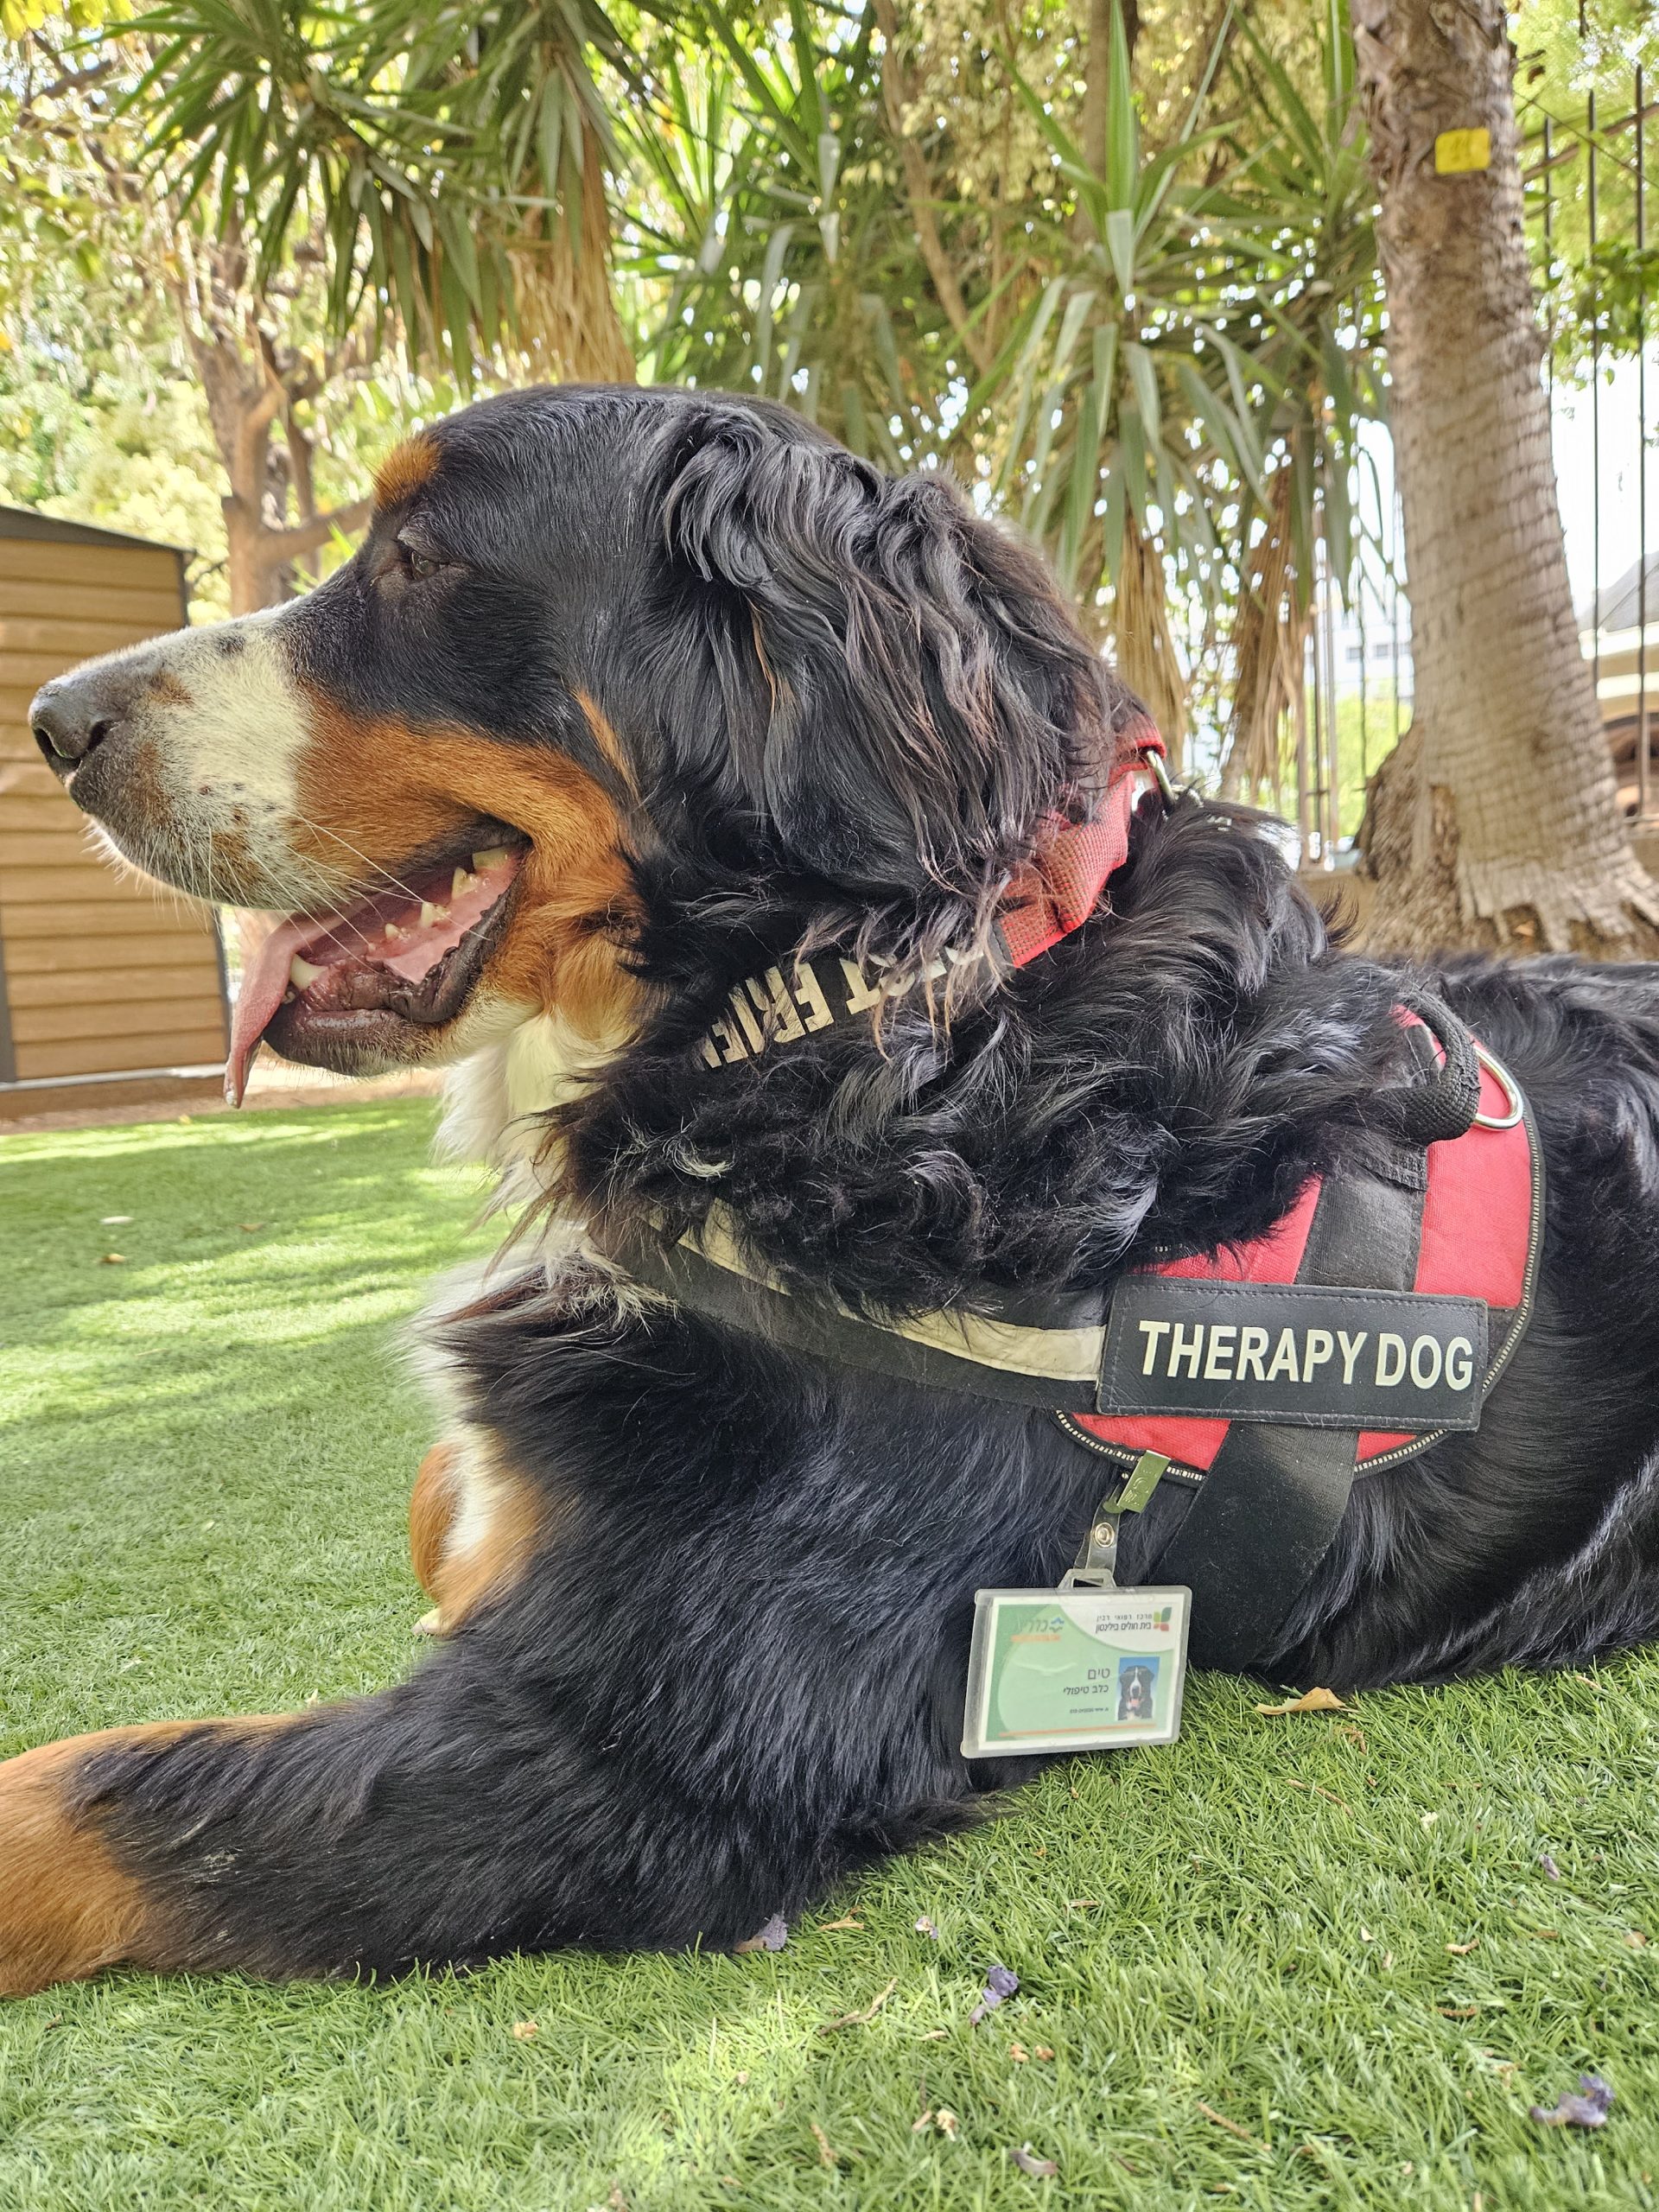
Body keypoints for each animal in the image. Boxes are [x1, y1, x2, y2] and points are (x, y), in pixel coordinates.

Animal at [10, 389, 1659, 1999]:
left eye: (417, 555)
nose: (53, 721)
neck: (865, 1026)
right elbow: (446, 1499)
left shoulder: (654, 1753)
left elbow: (93, 1792)